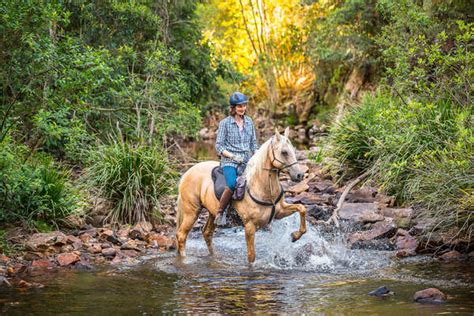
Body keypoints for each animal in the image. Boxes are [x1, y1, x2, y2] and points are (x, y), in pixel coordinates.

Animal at [176, 127, 306, 262]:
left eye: (293, 150)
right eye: (284, 152)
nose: (300, 175)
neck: (261, 188)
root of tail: (187, 172)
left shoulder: (280, 212)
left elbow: (301, 208)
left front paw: (295, 236)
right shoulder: (249, 226)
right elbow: (251, 256)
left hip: (212, 213)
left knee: (207, 233)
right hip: (192, 212)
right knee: (181, 235)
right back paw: (185, 259)